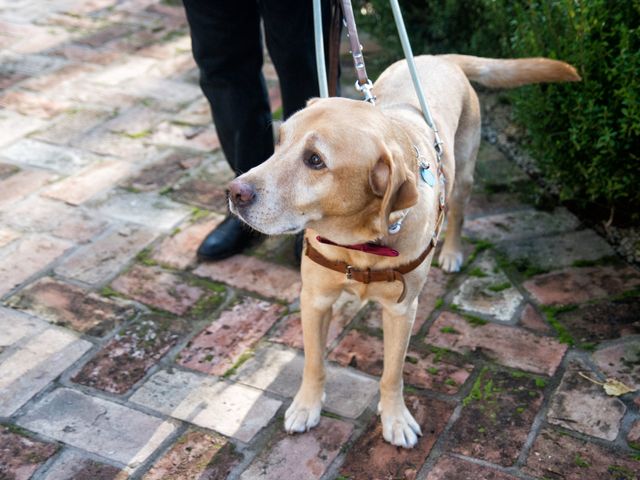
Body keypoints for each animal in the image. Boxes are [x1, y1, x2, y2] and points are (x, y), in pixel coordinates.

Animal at [228, 54, 576, 448]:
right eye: (279, 141)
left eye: (315, 160)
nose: (234, 192)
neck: (361, 243)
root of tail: (440, 57)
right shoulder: (314, 299)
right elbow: (314, 362)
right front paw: (307, 405)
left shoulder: (401, 310)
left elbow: (392, 373)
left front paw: (395, 418)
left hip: (464, 176)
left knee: (458, 213)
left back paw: (451, 252)